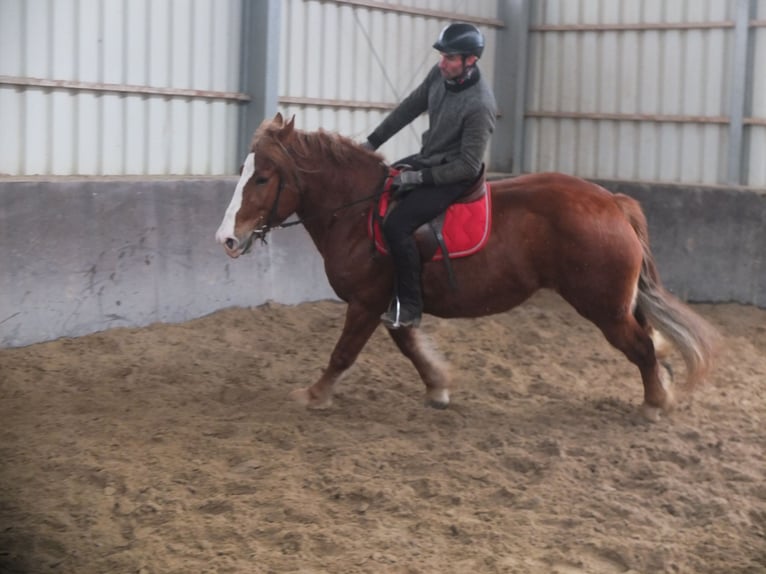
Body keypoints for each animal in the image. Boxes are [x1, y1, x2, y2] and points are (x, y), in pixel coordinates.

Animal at [214, 115, 720, 424]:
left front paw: (315, 395)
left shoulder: (365, 302)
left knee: (642, 346)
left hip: (605, 308)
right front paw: (438, 388)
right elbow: (410, 345)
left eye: (263, 177)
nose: (227, 239)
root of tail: (612, 203)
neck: (357, 213)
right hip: (615, 305)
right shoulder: (392, 303)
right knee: (650, 339)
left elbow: (343, 353)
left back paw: (655, 403)